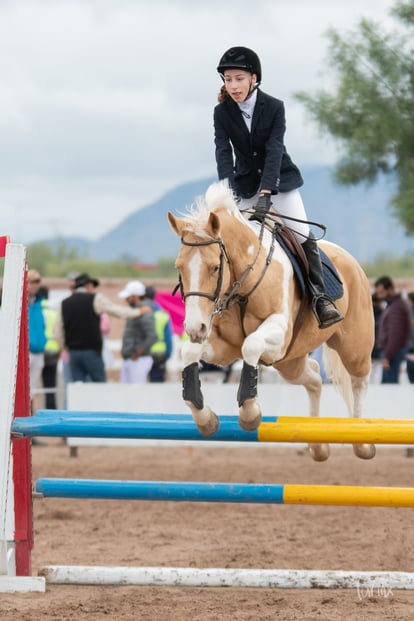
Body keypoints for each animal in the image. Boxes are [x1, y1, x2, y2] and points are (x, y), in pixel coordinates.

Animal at [167, 179, 376, 460]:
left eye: (214, 267)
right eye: (179, 268)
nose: (195, 328)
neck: (243, 285)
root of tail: (352, 261)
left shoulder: (278, 334)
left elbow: (251, 345)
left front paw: (250, 413)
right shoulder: (224, 347)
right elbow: (190, 352)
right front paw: (206, 419)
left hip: (353, 347)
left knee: (359, 381)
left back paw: (361, 439)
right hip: (289, 361)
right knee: (313, 376)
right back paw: (318, 444)